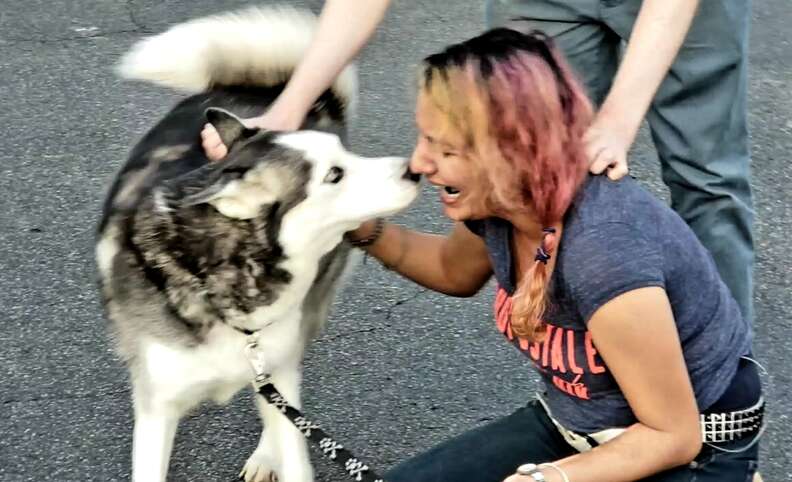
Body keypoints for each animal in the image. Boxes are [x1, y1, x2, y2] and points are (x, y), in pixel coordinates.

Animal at [97, 7, 420, 482]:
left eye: (344, 156)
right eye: (334, 174)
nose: (414, 169)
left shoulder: (276, 368)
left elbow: (293, 440)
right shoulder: (157, 407)